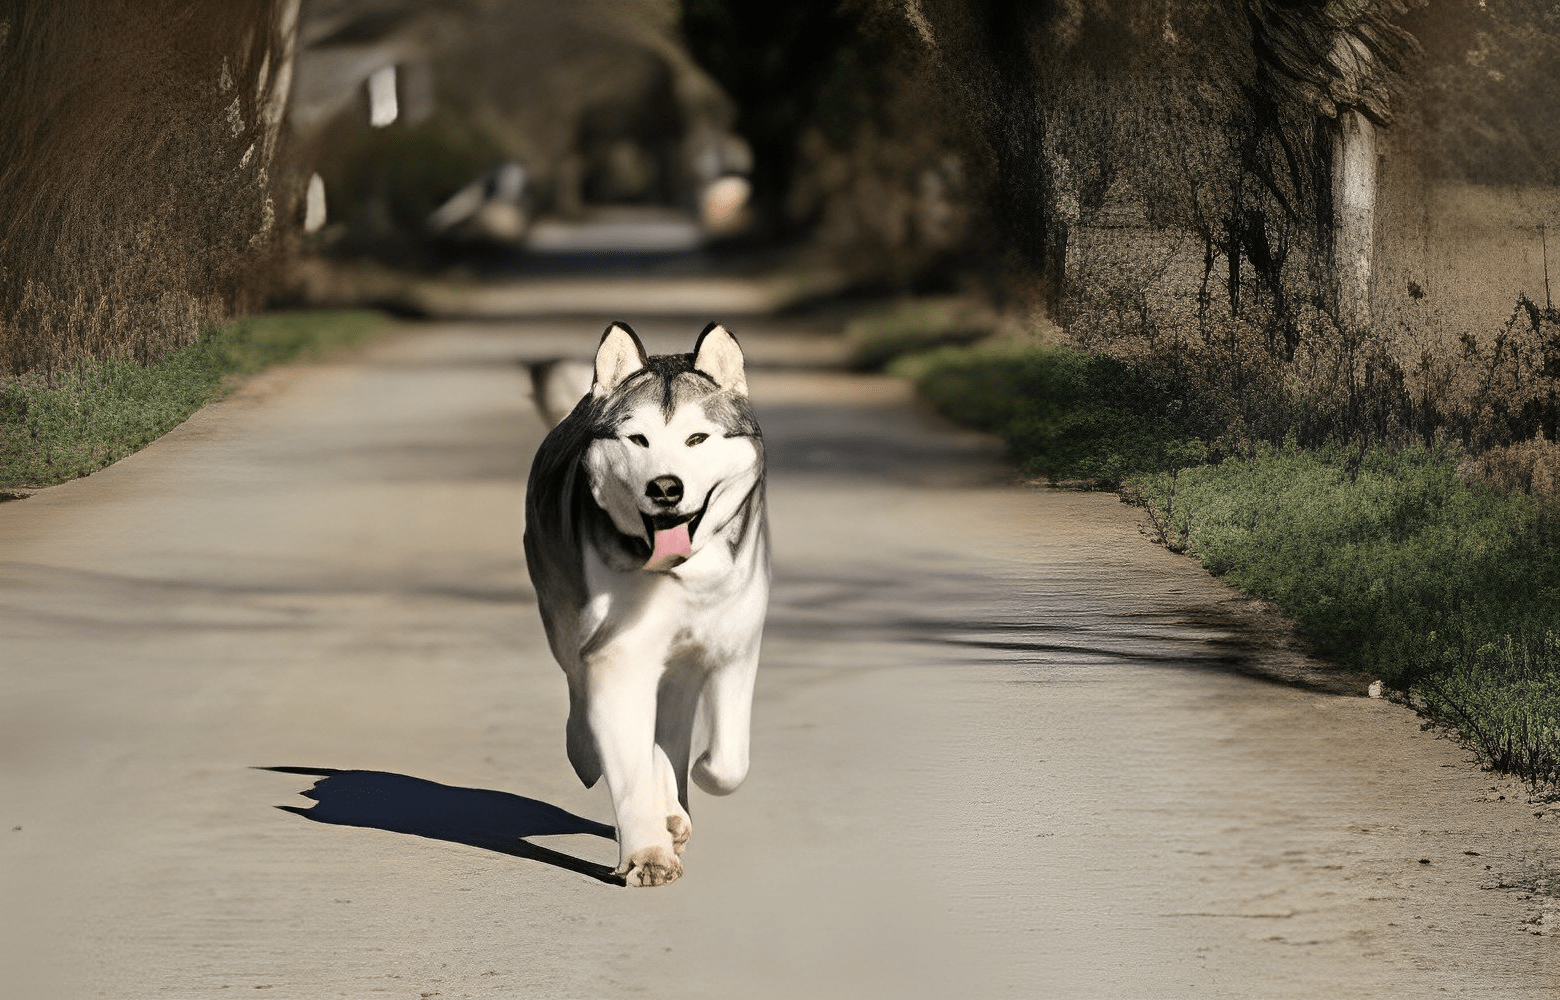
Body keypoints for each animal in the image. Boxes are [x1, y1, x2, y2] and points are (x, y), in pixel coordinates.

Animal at [524, 324, 767, 886]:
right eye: (638, 439)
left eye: (697, 439)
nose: (665, 487)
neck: (681, 576)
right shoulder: (619, 656)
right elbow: (630, 760)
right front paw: (647, 855)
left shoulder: (735, 648)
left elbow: (727, 764)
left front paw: (694, 779)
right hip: (563, 616)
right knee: (581, 695)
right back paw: (592, 755)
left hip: (681, 671)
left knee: (670, 729)